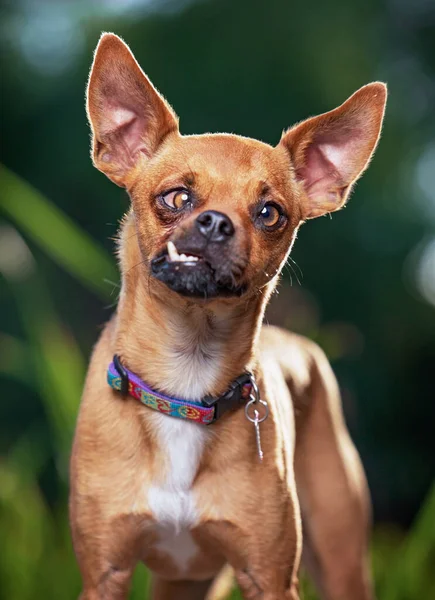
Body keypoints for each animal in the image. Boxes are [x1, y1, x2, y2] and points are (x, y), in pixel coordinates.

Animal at [71, 32, 388, 600]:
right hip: (181, 582)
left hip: (340, 561)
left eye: (270, 213)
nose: (216, 223)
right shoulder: (104, 574)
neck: (184, 383)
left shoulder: (271, 579)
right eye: (176, 197)